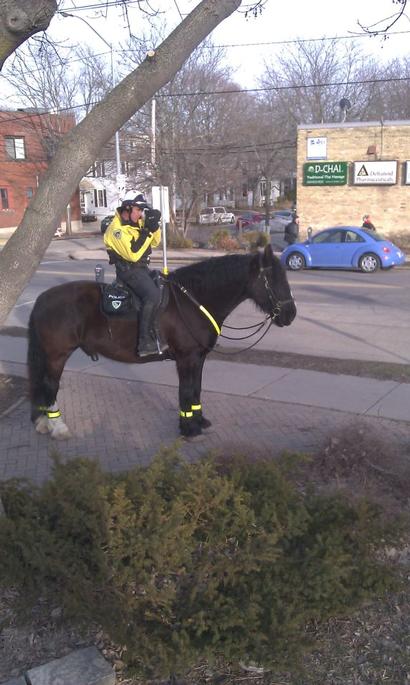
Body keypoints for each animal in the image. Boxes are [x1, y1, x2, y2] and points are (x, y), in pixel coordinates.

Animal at [28, 244, 294, 438]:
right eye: (273, 280)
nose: (291, 314)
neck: (192, 301)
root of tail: (43, 298)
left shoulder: (198, 358)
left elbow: (196, 389)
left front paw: (199, 421)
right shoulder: (186, 358)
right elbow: (186, 390)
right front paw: (189, 428)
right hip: (57, 355)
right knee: (50, 386)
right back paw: (57, 427)